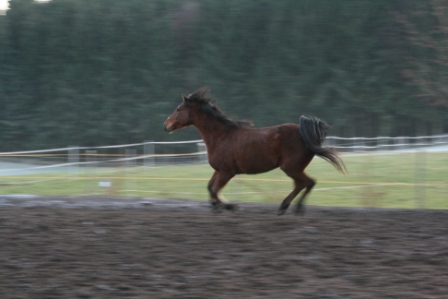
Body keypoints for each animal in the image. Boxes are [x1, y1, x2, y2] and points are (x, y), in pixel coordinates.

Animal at [163, 86, 344, 216]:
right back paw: (289, 207)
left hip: (291, 167)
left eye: (178, 109)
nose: (166, 125)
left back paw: (288, 207)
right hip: (295, 168)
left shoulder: (227, 172)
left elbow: (214, 190)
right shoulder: (219, 170)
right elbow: (209, 187)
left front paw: (229, 206)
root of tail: (303, 131)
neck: (222, 136)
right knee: (304, 184)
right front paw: (218, 206)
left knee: (307, 182)